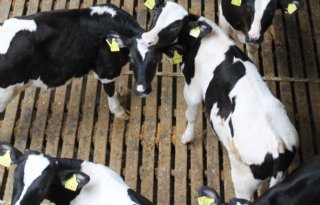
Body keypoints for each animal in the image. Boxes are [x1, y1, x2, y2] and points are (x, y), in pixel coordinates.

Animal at [0, 3, 160, 118]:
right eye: (133, 58)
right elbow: (111, 92)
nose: (143, 90)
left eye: (155, 61)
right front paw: (119, 112)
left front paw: (123, 90)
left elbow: (120, 76)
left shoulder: (116, 64)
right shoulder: (106, 71)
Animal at [141, 0, 298, 200]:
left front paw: (186, 138)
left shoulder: (192, 88)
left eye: (175, 26)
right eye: (155, 13)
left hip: (242, 180)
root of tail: (279, 145)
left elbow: (191, 114)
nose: (146, 39)